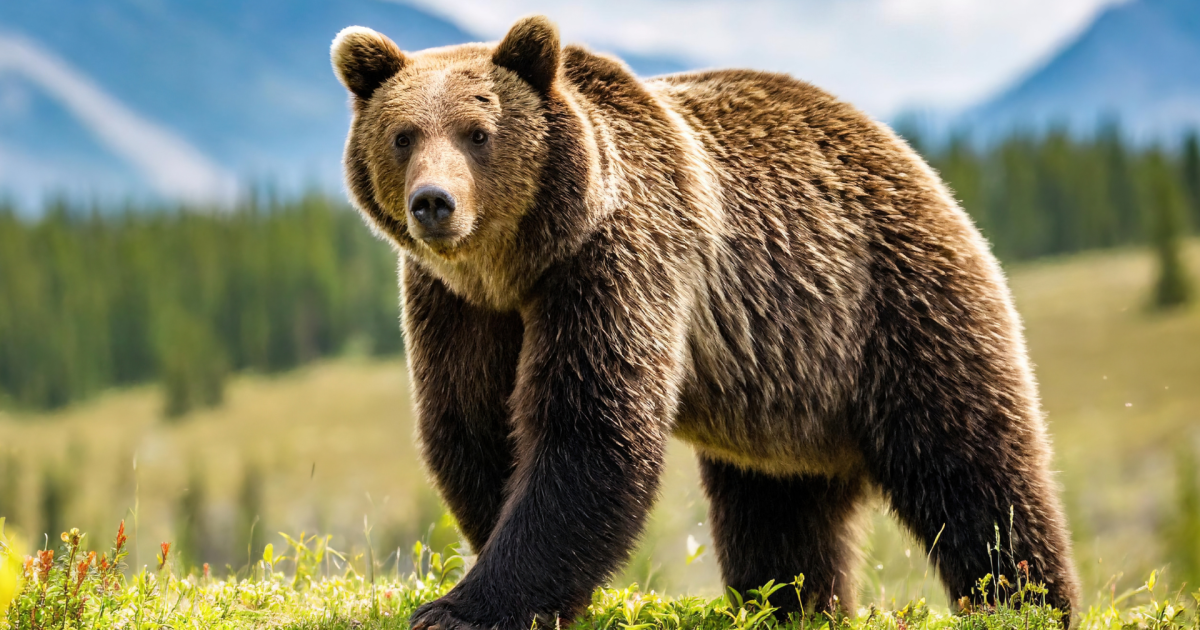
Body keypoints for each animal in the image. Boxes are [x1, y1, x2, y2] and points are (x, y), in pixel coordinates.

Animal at [331, 15, 1080, 630]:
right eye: (403, 135)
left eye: (478, 133)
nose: (435, 202)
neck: (518, 263)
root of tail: (915, 161)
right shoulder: (455, 303)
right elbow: (472, 422)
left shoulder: (618, 260)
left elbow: (590, 428)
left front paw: (461, 608)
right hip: (788, 391)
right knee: (778, 516)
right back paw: (797, 605)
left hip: (897, 308)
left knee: (975, 472)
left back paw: (1025, 603)